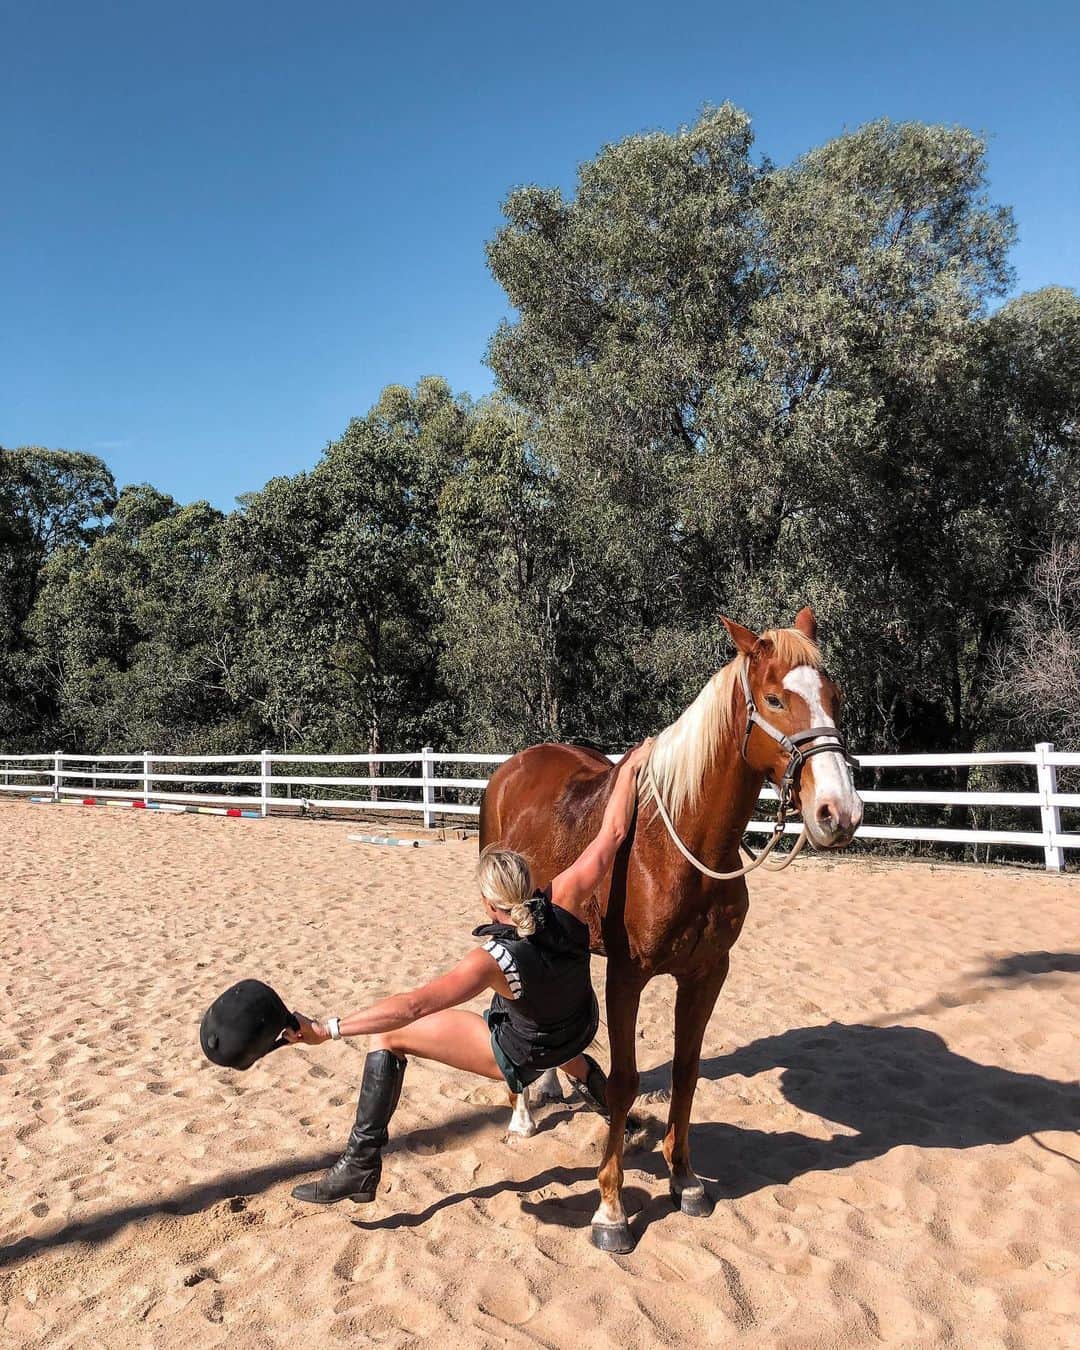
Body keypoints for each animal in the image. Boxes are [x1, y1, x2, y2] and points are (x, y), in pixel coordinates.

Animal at [478, 607, 863, 1253]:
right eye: (775, 699)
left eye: (833, 698)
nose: (839, 813)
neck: (678, 843)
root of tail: (513, 767)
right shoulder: (627, 977)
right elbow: (626, 1080)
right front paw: (610, 1209)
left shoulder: (706, 974)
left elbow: (686, 1073)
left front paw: (684, 1179)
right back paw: (523, 1113)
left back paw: (552, 1083)